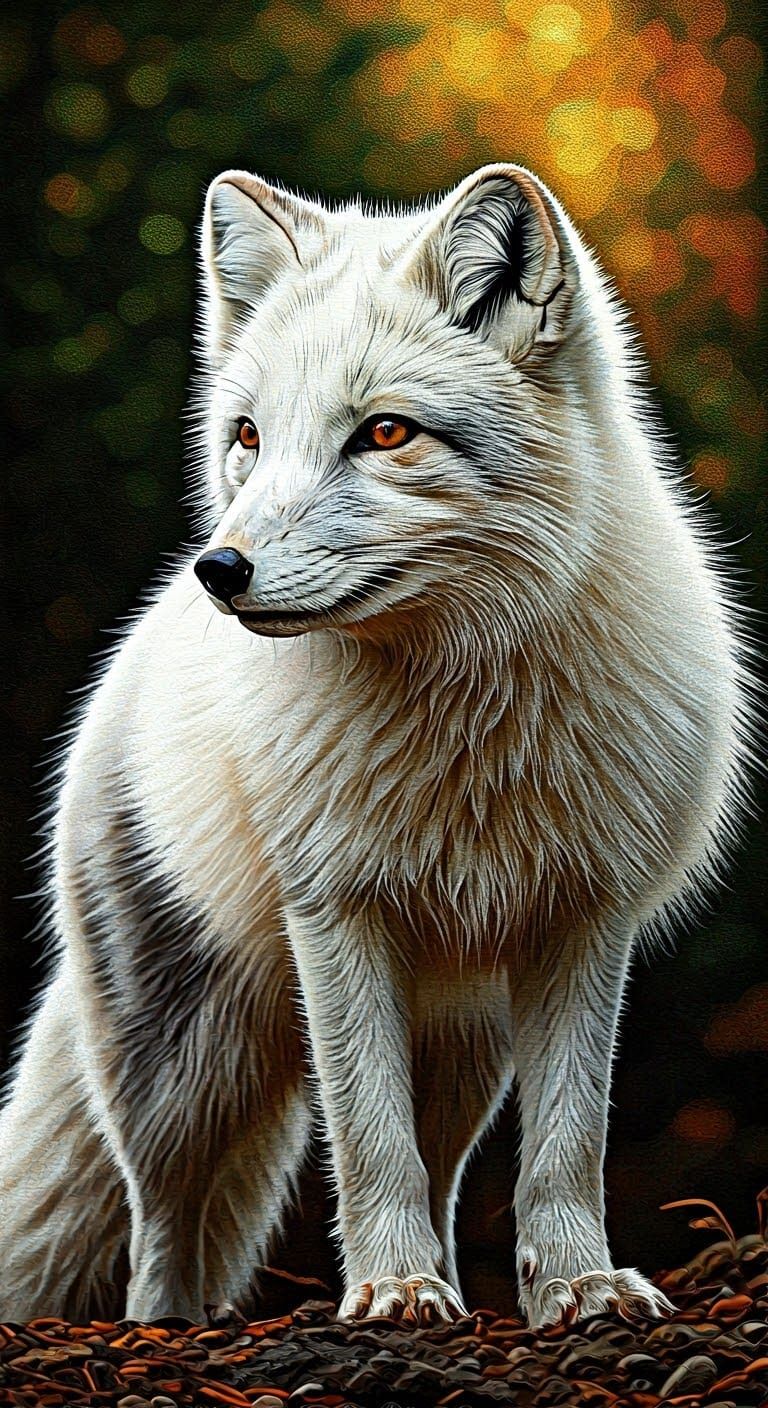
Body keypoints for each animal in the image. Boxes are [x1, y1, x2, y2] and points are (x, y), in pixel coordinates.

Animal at [0, 161, 752, 1329]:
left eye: (387, 434)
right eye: (249, 436)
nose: (220, 570)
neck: (469, 716)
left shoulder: (583, 919)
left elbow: (566, 1144)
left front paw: (575, 1284)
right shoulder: (334, 913)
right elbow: (365, 1141)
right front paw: (390, 1287)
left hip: (462, 1045)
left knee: (442, 1171)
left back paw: (452, 1285)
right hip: (181, 1057)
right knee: (161, 1223)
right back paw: (176, 1325)